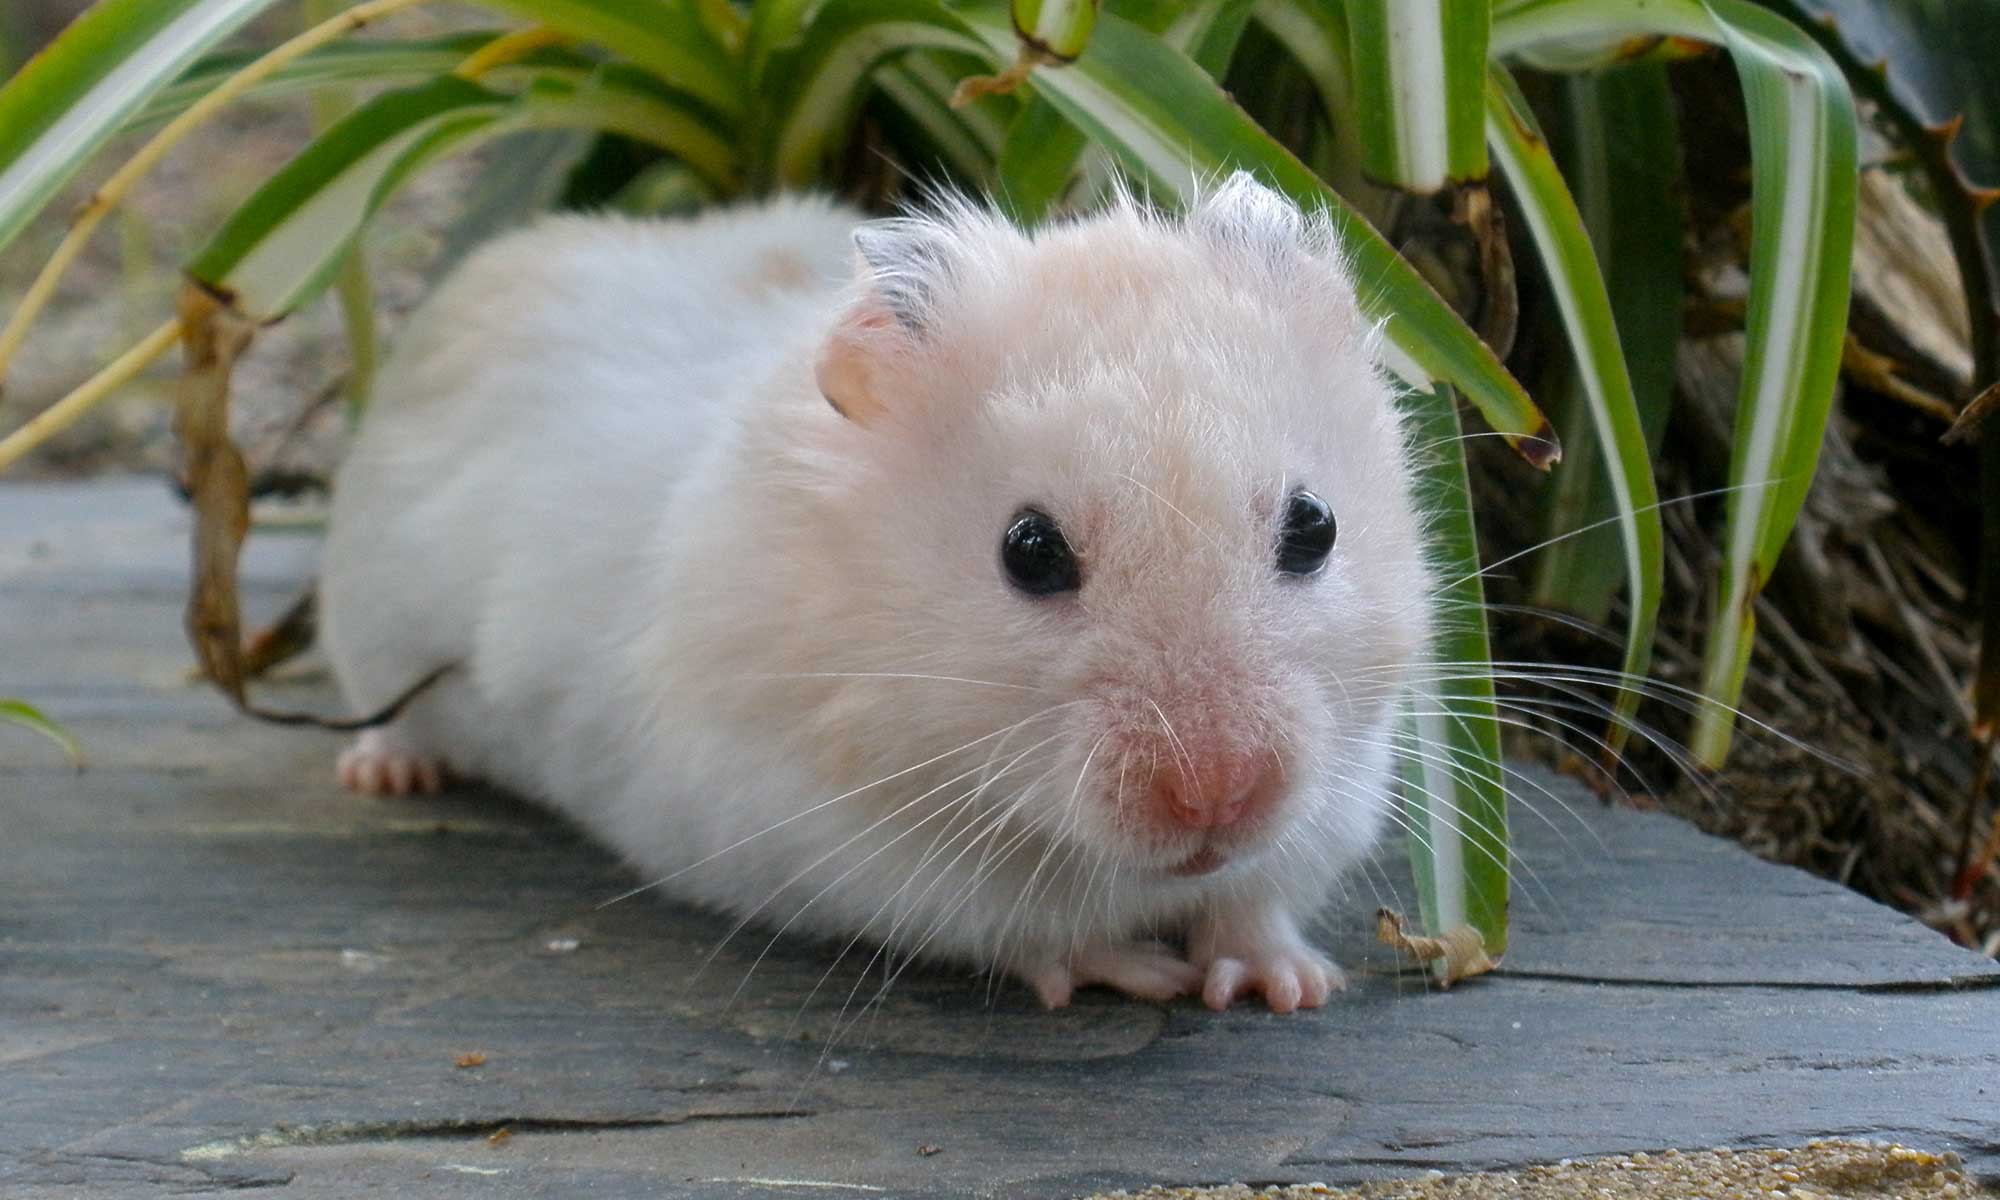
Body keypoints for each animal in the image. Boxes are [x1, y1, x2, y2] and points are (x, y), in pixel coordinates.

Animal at [317, 173, 1432, 1013]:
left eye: (1315, 528)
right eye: (1028, 552)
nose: (1218, 799)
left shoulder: (1335, 796)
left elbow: (1257, 901)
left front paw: (1290, 985)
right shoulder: (848, 845)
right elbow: (1027, 928)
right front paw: (1141, 973)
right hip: (374, 625)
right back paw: (385, 775)